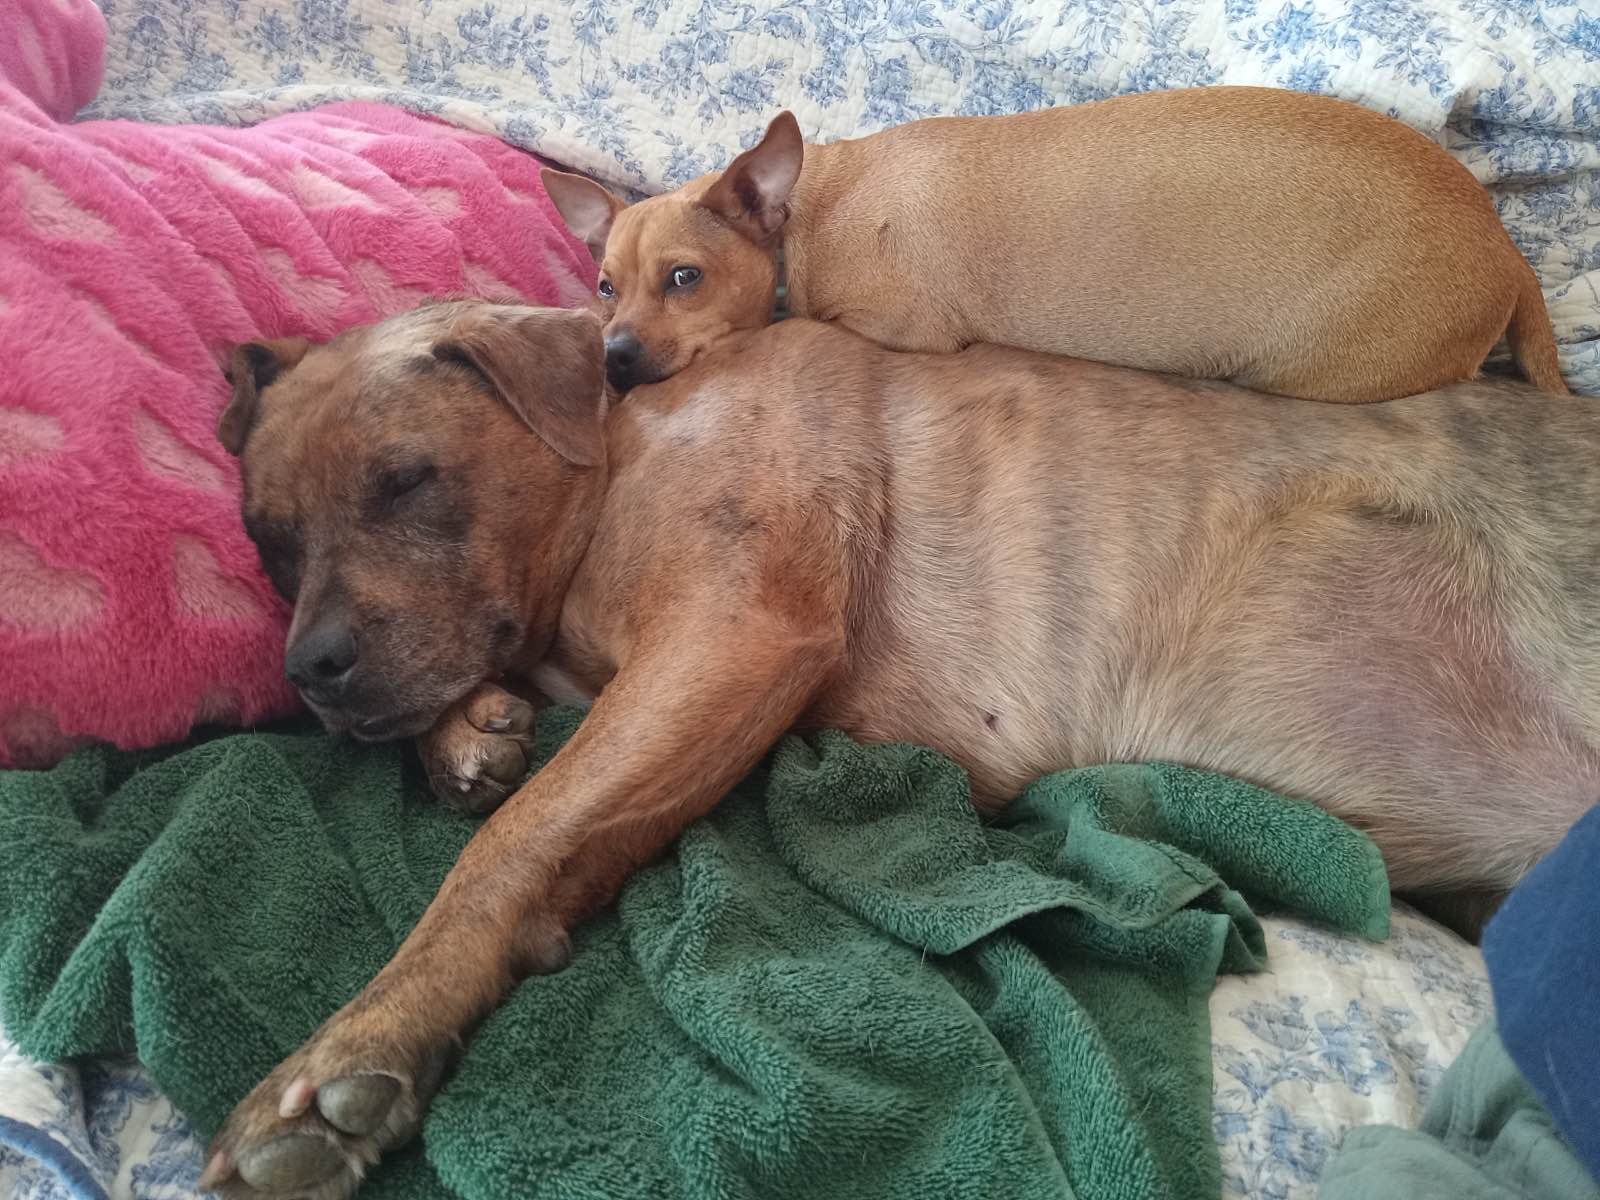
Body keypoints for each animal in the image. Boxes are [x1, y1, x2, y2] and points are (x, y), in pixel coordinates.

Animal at [203, 302, 1600, 1200]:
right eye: (269, 540)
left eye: (405, 480)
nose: (310, 672)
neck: (619, 450)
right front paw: (465, 736)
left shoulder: (734, 637)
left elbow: (512, 844)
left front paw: (355, 1047)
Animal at [544, 86, 1568, 404]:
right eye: (603, 287)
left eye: (686, 278)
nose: (615, 359)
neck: (806, 216)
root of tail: (1504, 249)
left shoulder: (899, 326)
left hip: (1314, 366)